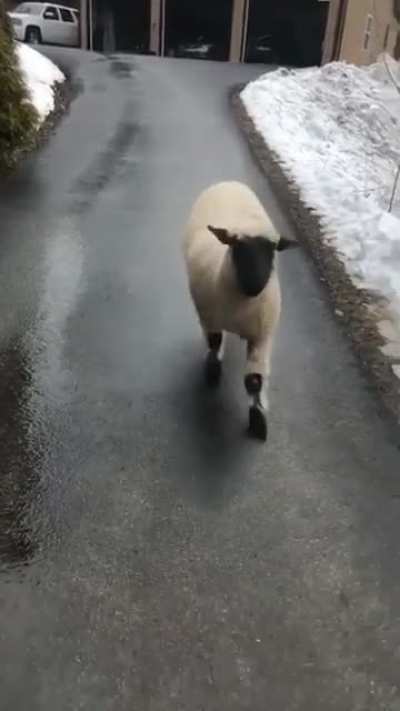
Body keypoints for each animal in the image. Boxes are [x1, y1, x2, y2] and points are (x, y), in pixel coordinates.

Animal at [182, 180, 298, 441]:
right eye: (238, 247)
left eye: (272, 251)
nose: (256, 283)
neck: (242, 306)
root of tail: (228, 182)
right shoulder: (211, 320)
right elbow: (214, 343)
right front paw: (212, 372)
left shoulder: (262, 336)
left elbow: (253, 381)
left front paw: (257, 420)